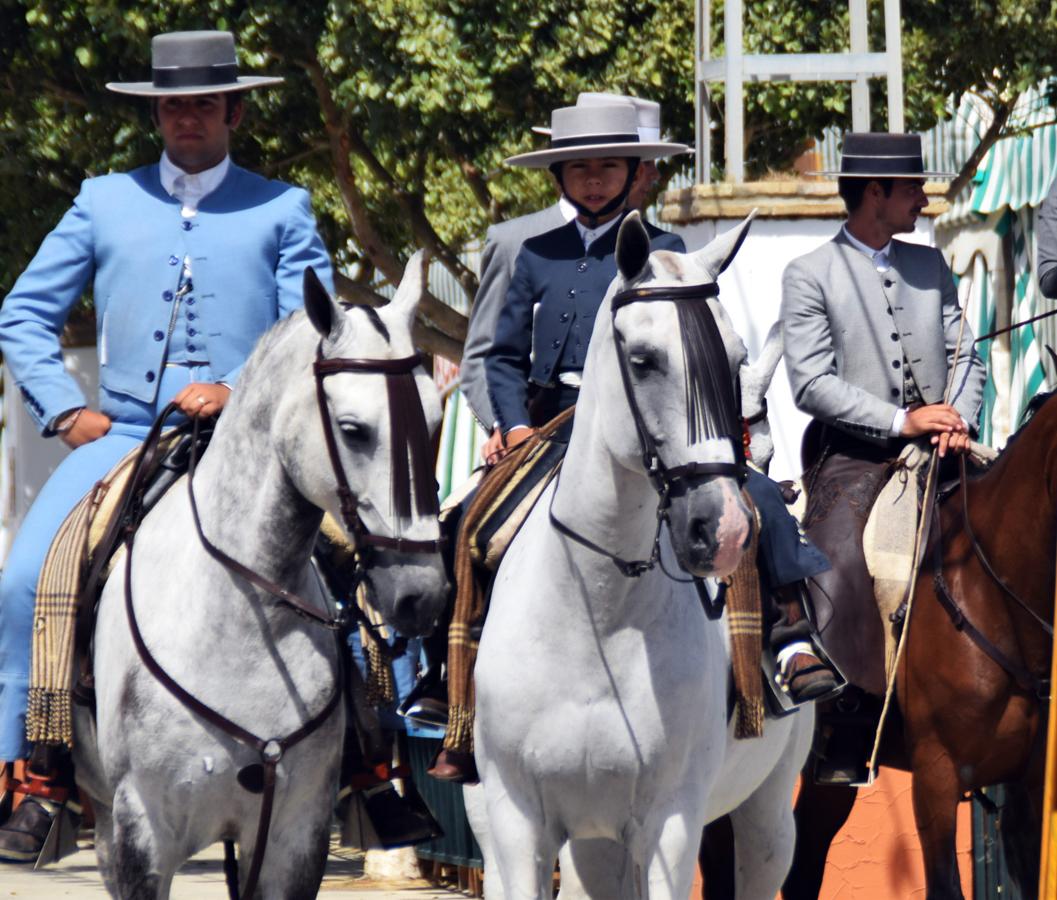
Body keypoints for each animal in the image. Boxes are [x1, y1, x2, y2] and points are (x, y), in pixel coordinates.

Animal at [69, 254, 450, 900]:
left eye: (434, 421)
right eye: (353, 429)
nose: (421, 594)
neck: (239, 621)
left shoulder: (293, 836)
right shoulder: (140, 832)